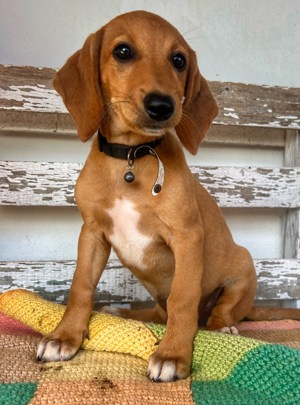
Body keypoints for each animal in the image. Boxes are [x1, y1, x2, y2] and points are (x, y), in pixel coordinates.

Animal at [36, 10, 298, 382]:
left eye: (178, 60)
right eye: (122, 51)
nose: (162, 105)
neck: (131, 157)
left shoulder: (186, 237)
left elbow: (182, 300)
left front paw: (173, 354)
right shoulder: (92, 233)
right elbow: (80, 288)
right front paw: (64, 336)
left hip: (244, 267)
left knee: (215, 314)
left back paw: (221, 326)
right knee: (159, 314)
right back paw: (125, 312)